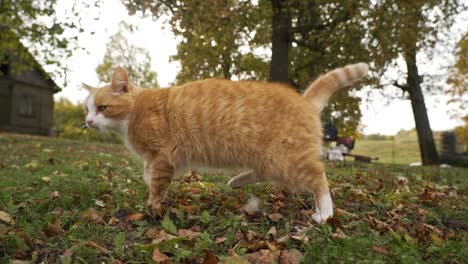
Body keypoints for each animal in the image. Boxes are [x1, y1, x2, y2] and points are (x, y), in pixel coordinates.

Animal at [83, 63, 370, 223]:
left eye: (102, 107)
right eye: (88, 109)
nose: (87, 121)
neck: (134, 112)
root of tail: (304, 100)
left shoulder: (163, 157)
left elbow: (156, 186)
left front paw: (151, 208)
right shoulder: (165, 160)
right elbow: (149, 174)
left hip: (286, 160)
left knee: (319, 177)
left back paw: (325, 214)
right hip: (271, 160)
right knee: (270, 174)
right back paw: (237, 181)